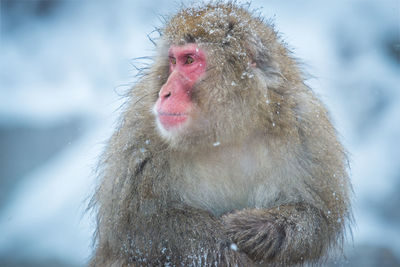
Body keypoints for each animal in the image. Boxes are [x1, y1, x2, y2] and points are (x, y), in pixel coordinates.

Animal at [89, 2, 352, 267]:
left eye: (189, 60)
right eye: (173, 61)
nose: (164, 92)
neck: (227, 133)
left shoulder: (307, 128)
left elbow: (315, 219)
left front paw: (254, 229)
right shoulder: (141, 136)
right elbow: (138, 228)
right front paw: (221, 247)